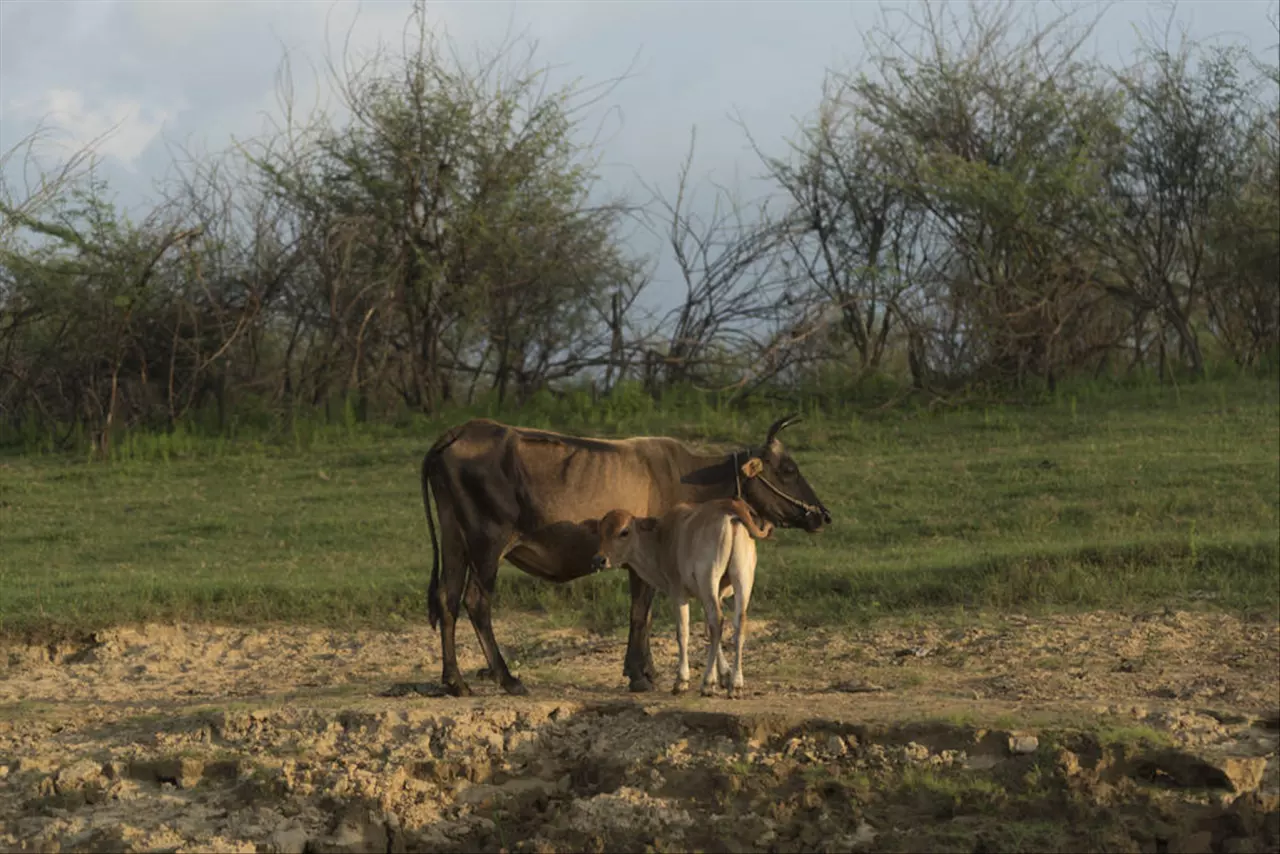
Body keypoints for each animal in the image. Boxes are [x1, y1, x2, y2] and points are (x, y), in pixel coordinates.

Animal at [414, 414, 824, 701]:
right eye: (788, 469)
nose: (822, 515)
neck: (692, 477)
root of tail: (462, 430)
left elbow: (644, 614)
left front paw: (647, 670)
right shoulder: (645, 559)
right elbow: (641, 614)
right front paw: (640, 675)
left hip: (454, 539)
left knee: (447, 600)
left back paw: (455, 681)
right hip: (487, 544)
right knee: (476, 602)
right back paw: (507, 678)